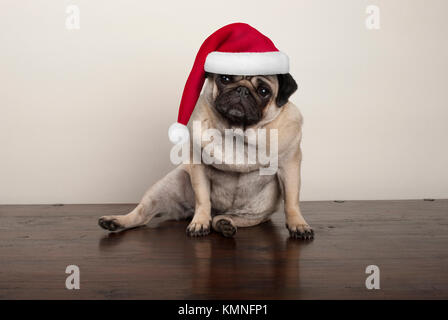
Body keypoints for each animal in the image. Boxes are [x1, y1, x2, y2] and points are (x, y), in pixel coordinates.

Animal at [100, 71, 314, 239]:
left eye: (263, 91)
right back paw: (115, 221)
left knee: (220, 219)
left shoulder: (290, 165)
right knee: (142, 215)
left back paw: (224, 224)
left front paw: (298, 225)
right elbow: (203, 198)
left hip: (252, 216)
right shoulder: (198, 167)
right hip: (167, 185)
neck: (235, 132)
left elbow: (292, 200)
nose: (242, 90)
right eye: (225, 79)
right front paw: (199, 222)